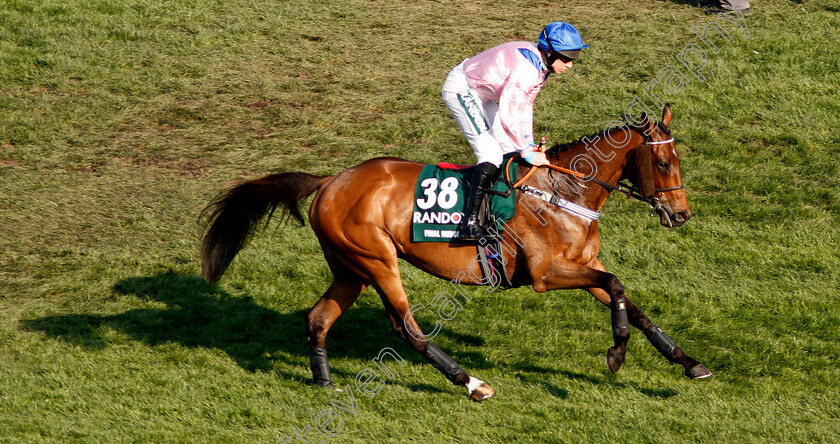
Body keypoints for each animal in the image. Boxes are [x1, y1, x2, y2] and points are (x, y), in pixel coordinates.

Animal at [202, 105, 708, 402]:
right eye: (663, 162)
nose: (680, 215)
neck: (565, 191)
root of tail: (330, 181)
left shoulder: (583, 265)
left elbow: (631, 303)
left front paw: (688, 363)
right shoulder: (548, 274)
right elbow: (618, 288)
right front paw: (616, 353)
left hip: (349, 268)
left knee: (319, 317)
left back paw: (323, 380)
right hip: (377, 261)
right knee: (405, 327)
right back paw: (471, 383)